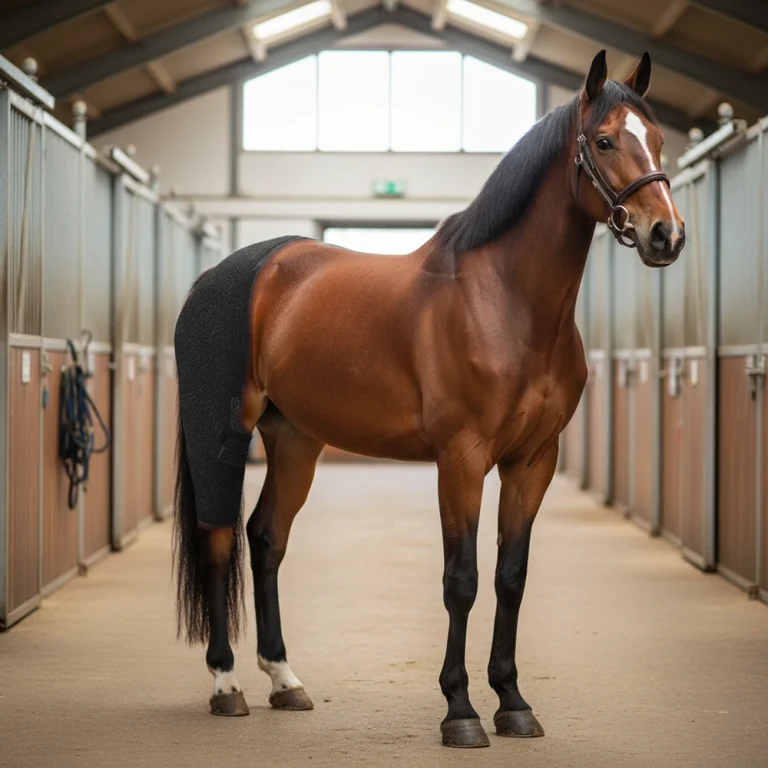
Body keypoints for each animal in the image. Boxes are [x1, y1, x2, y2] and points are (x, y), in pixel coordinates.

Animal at [172, 49, 685, 749]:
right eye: (604, 141)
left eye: (657, 139)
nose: (667, 235)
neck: (504, 302)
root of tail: (220, 276)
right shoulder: (461, 460)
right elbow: (461, 580)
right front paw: (460, 710)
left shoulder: (533, 462)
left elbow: (510, 577)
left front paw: (512, 702)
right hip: (221, 435)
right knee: (220, 539)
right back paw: (226, 685)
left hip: (295, 439)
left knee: (266, 537)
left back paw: (284, 680)